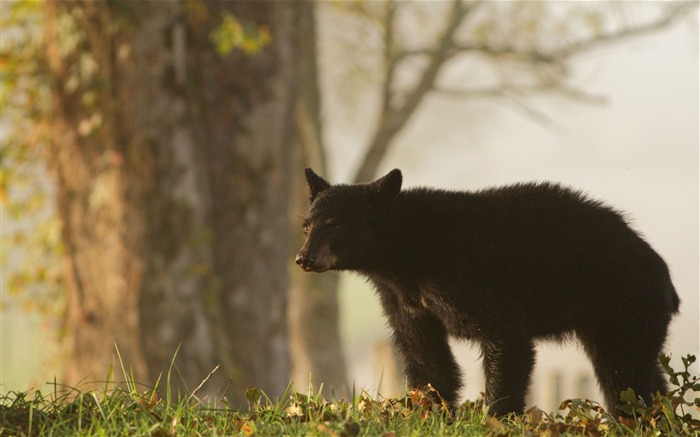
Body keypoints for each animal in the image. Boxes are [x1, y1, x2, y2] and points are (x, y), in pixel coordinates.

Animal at [296, 167, 680, 416]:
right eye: (307, 224)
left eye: (336, 224)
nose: (304, 258)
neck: (407, 254)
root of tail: (667, 280)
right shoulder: (403, 298)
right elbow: (424, 353)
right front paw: (428, 411)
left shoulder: (466, 278)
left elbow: (505, 338)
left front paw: (496, 416)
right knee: (644, 375)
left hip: (624, 303)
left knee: (625, 376)